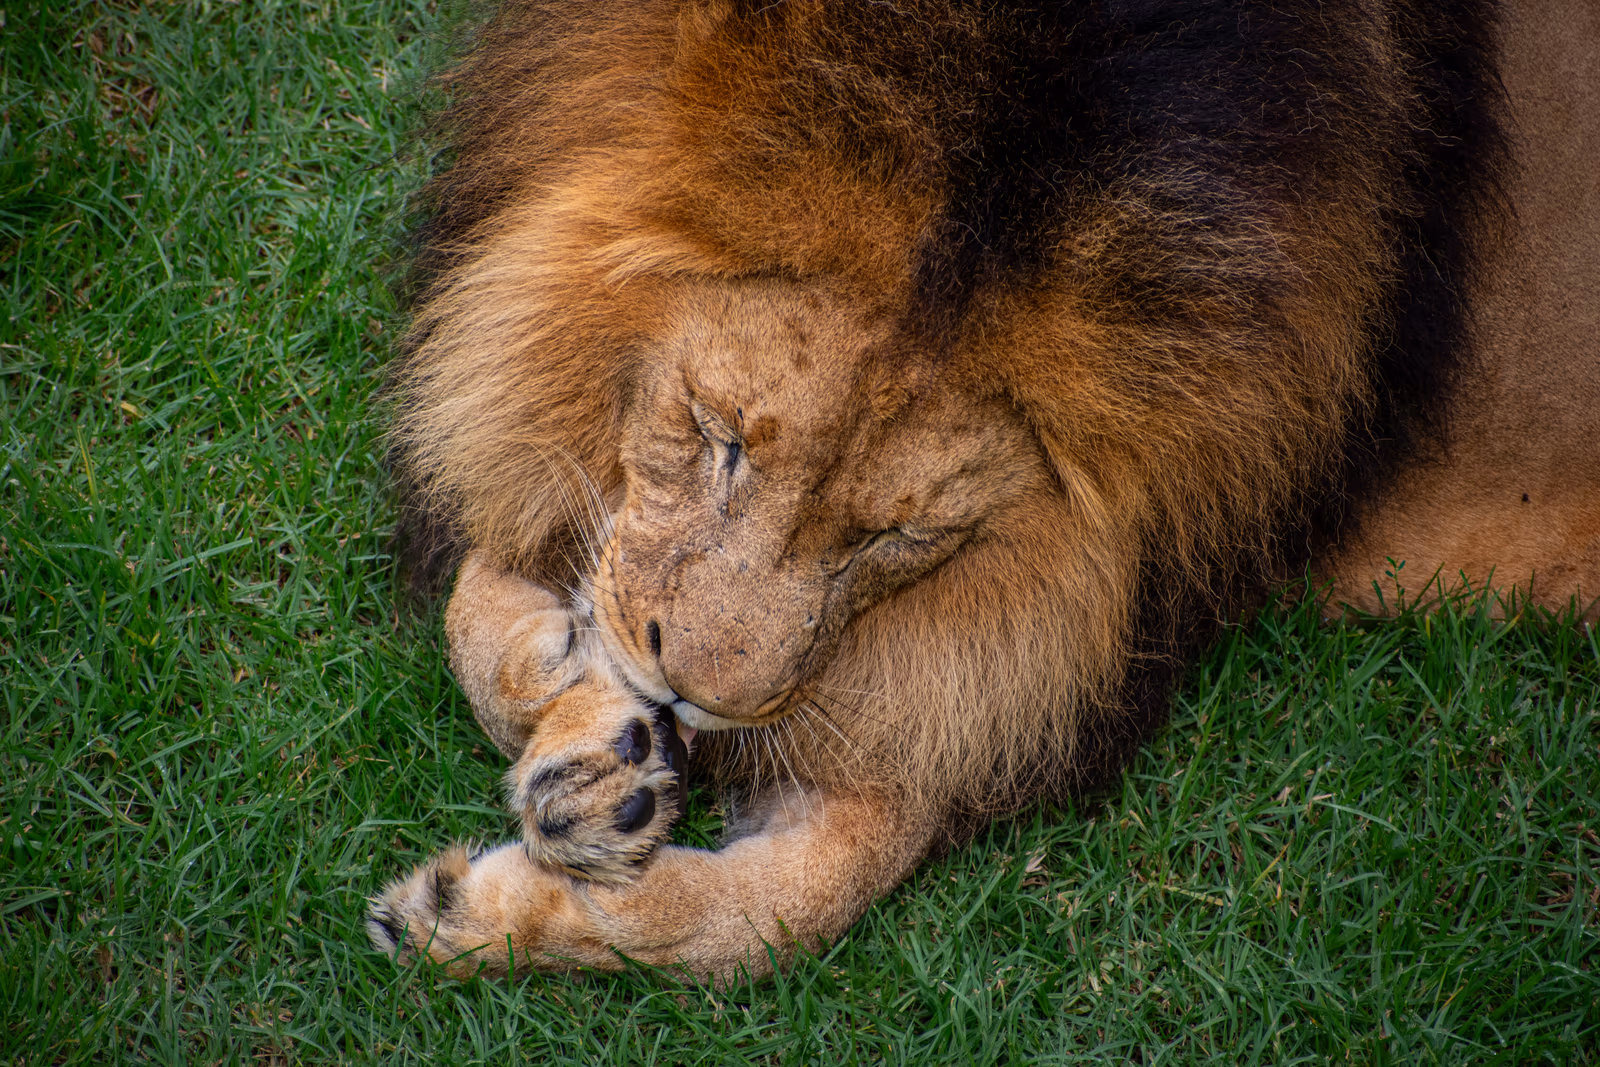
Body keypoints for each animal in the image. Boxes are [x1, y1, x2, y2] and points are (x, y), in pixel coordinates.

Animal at [368, 0, 1599, 981]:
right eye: (720, 438)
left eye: (892, 536)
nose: (694, 698)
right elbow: (488, 577)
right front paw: (580, 710)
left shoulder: (1041, 644)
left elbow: (780, 914)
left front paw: (486, 899)